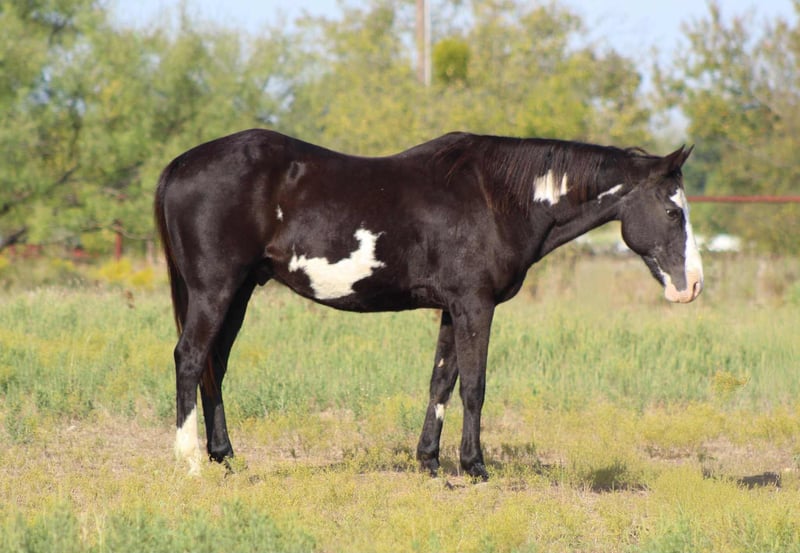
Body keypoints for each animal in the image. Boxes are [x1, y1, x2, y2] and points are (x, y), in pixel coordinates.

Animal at [154, 129, 703, 479]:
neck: (497, 198)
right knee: (190, 358)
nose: (692, 286)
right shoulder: (475, 306)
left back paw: (225, 457)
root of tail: (181, 164)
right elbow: (475, 386)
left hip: (239, 291)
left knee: (214, 366)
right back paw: (189, 461)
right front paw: (475, 466)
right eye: (672, 211)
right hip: (215, 289)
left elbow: (442, 381)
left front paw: (430, 461)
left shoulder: (452, 308)